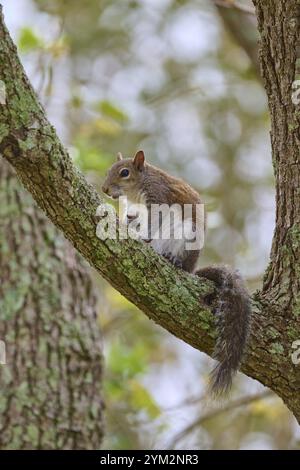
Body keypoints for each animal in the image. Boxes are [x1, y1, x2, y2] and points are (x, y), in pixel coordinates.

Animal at [102, 151, 252, 396]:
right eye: (109, 170)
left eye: (124, 172)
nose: (105, 189)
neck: (137, 187)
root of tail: (192, 268)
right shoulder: (135, 210)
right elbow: (133, 218)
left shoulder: (158, 198)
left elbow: (153, 222)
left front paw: (142, 235)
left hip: (183, 234)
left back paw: (170, 258)